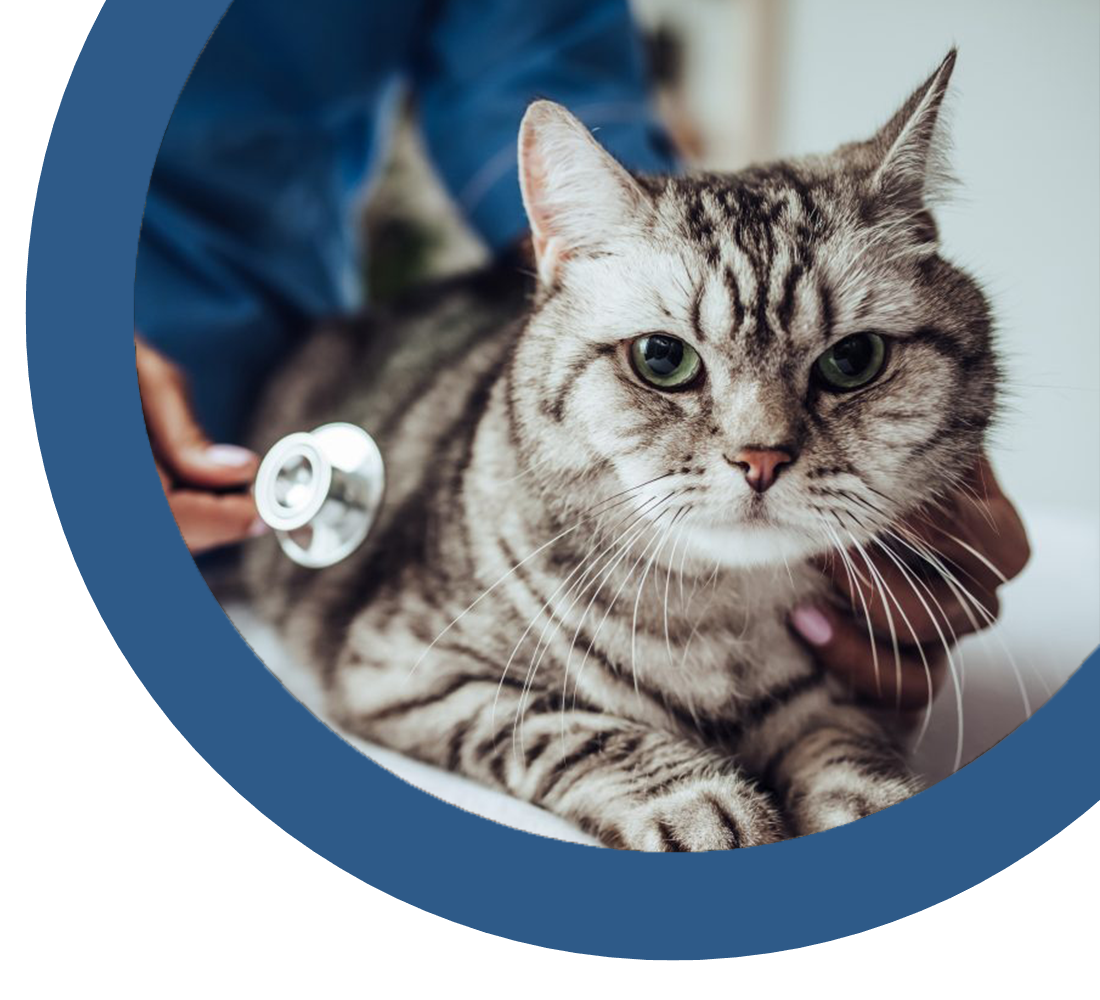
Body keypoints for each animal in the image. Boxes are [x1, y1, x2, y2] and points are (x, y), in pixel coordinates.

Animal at [240, 50, 998, 844]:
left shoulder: (848, 697)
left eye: (853, 361)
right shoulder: (410, 668)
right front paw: (706, 806)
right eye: (662, 358)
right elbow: (580, 729)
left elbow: (848, 751)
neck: (719, 619)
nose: (761, 457)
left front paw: (873, 802)